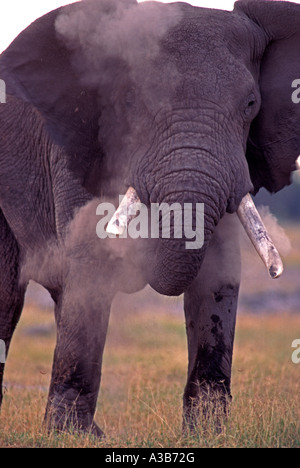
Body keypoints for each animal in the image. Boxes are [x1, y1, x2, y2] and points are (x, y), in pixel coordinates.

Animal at [0, 0, 298, 436]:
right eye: (131, 104)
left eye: (250, 105)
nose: (278, 272)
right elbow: (91, 262)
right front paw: (69, 436)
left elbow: (216, 273)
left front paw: (208, 434)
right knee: (7, 295)